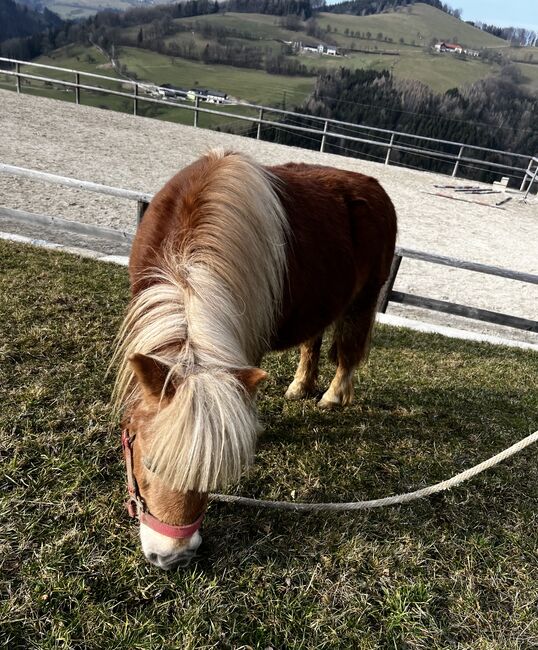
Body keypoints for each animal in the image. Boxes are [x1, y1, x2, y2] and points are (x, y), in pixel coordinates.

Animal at [114, 151, 394, 568]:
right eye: (149, 464)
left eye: (215, 473)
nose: (174, 556)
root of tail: (372, 184)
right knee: (313, 341)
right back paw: (300, 386)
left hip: (363, 300)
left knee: (348, 351)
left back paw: (331, 396)